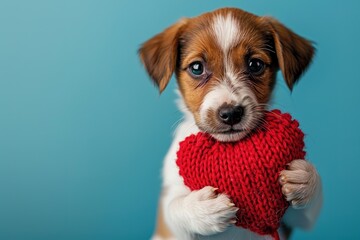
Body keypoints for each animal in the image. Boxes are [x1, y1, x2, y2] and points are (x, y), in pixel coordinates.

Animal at [139, 7, 322, 240]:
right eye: (197, 67)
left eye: (255, 65)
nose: (231, 114)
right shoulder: (169, 224)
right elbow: (174, 207)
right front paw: (203, 210)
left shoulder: (292, 221)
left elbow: (309, 207)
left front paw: (307, 179)